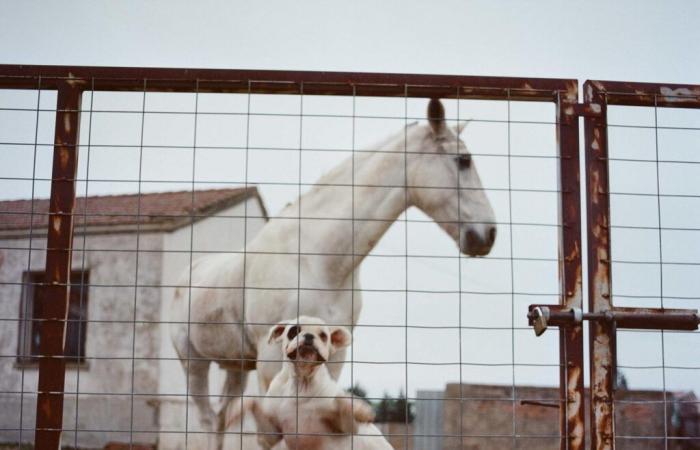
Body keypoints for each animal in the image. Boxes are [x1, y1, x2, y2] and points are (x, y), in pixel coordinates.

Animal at [231, 318, 394, 448]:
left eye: (323, 336)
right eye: (293, 331)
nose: (309, 336)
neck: (301, 383)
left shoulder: (349, 428)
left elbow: (343, 404)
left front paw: (359, 408)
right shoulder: (270, 435)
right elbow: (252, 402)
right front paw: (237, 408)